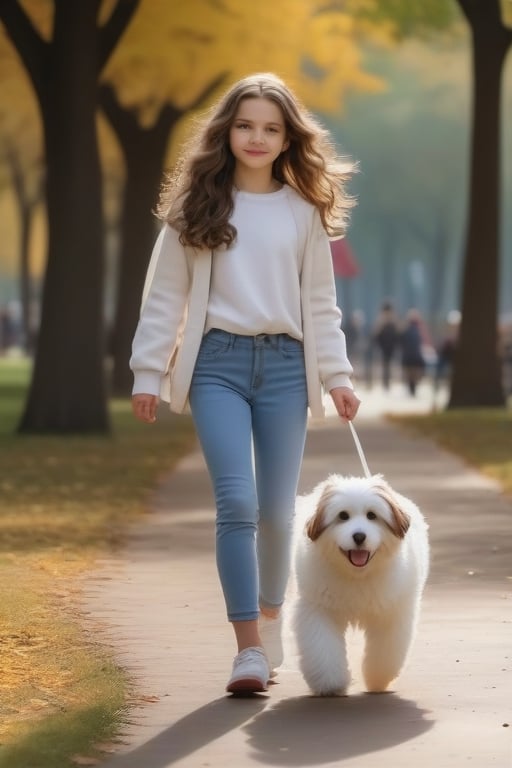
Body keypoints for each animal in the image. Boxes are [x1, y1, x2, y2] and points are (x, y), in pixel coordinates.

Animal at [292, 474, 428, 696]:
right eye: (343, 516)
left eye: (371, 515)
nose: (359, 536)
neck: (357, 575)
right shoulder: (318, 609)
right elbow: (322, 648)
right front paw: (330, 683)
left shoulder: (391, 614)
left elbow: (385, 652)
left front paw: (377, 678)